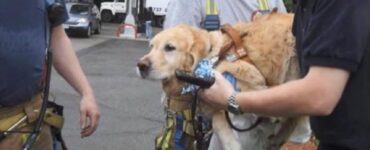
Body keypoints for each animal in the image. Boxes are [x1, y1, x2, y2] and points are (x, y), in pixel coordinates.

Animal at [137, 12, 304, 150]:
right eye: (151, 46)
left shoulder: (245, 79)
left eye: (170, 47)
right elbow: (218, 118)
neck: (212, 56)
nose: (141, 65)